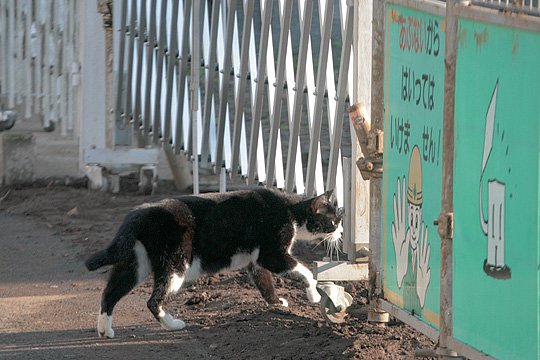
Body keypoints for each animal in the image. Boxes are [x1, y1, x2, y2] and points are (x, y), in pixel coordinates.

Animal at [86, 187, 344, 338]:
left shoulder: (256, 261)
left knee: (109, 293)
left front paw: (276, 303)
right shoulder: (272, 254)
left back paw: (105, 330)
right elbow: (305, 272)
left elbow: (264, 281)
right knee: (153, 300)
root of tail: (135, 216)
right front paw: (315, 296)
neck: (290, 210)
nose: (341, 232)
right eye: (334, 221)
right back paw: (172, 325)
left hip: (135, 264)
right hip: (175, 263)